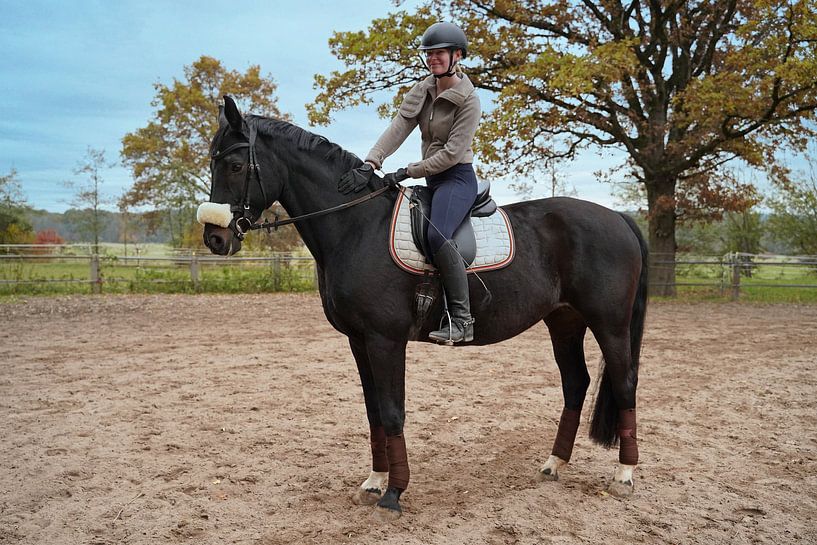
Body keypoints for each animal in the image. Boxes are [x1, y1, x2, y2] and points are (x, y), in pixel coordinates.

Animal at [200, 96, 648, 522]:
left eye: (236, 165)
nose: (215, 239)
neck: (357, 226)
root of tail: (617, 217)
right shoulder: (359, 342)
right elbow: (374, 413)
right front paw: (374, 482)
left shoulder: (385, 341)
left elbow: (393, 413)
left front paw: (394, 495)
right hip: (564, 322)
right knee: (575, 384)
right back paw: (554, 464)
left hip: (609, 324)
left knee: (625, 383)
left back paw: (624, 476)